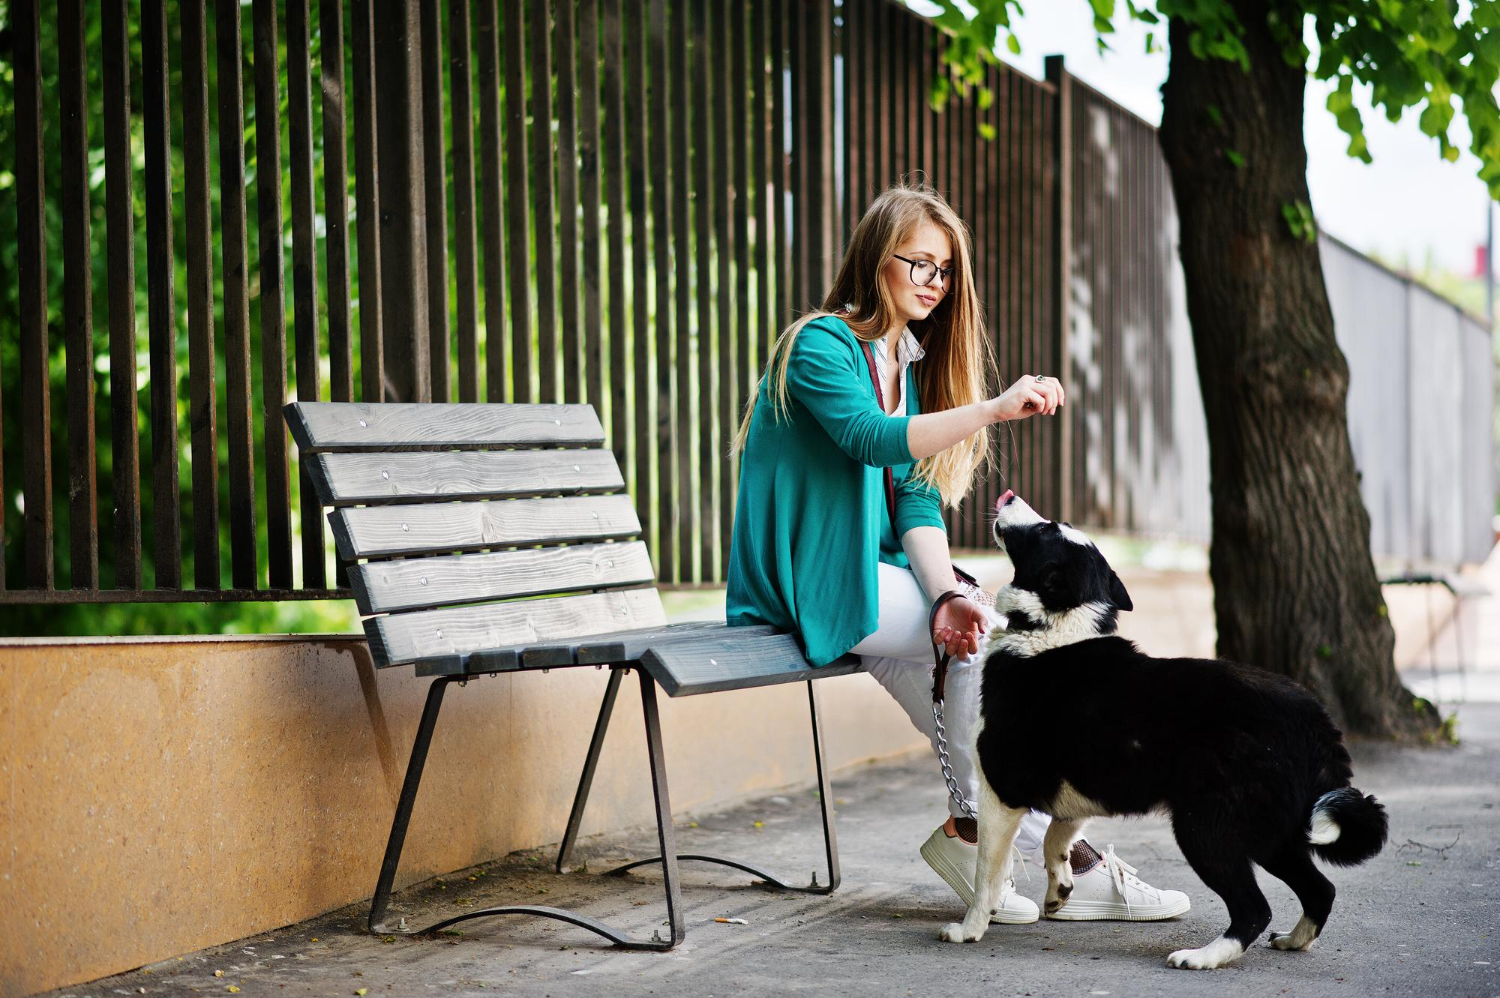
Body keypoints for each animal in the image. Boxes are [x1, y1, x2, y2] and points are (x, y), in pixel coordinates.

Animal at [942, 489, 1386, 966]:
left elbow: (987, 872)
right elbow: (1055, 836)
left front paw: (970, 928)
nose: (1008, 495)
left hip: (1204, 827)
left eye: (1047, 529)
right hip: (1275, 830)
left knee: (1255, 907)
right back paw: (1294, 940)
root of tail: (1316, 721)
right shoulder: (1077, 787)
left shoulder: (1000, 792)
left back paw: (1204, 956)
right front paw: (1059, 888)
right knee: (1321, 889)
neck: (1051, 627)